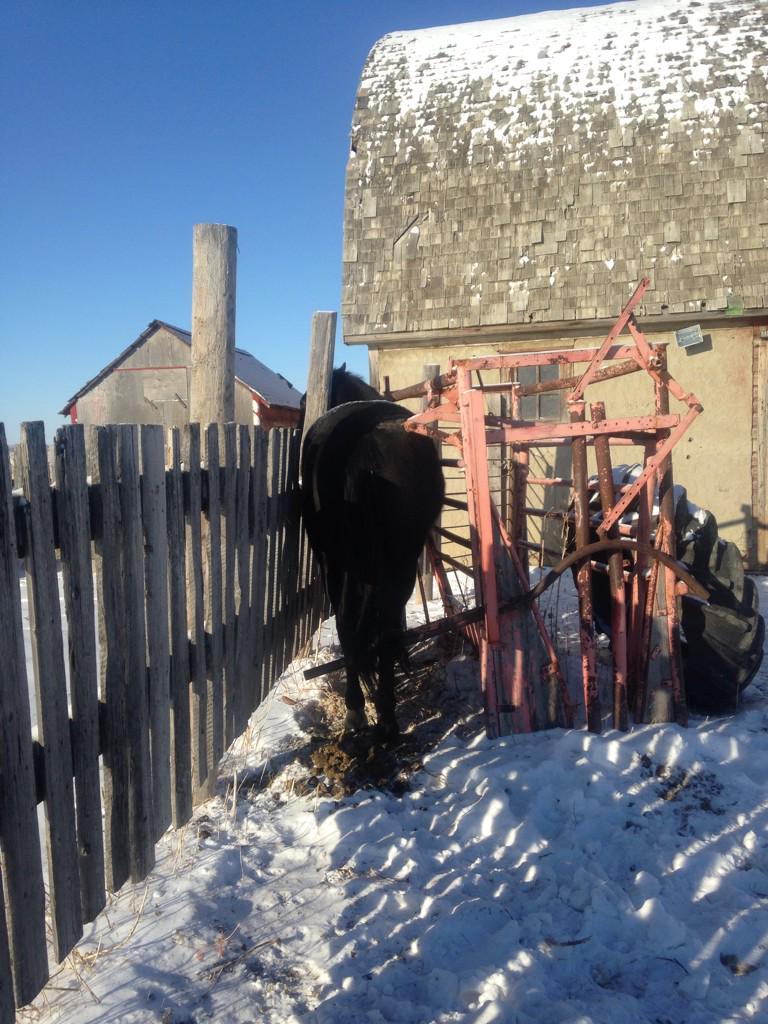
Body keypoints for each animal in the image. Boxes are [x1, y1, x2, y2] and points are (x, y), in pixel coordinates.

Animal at [300, 367, 445, 742]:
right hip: (397, 564)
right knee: (381, 630)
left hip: (340, 564)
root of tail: (366, 451)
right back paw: (385, 713)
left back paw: (359, 710)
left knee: (350, 627)